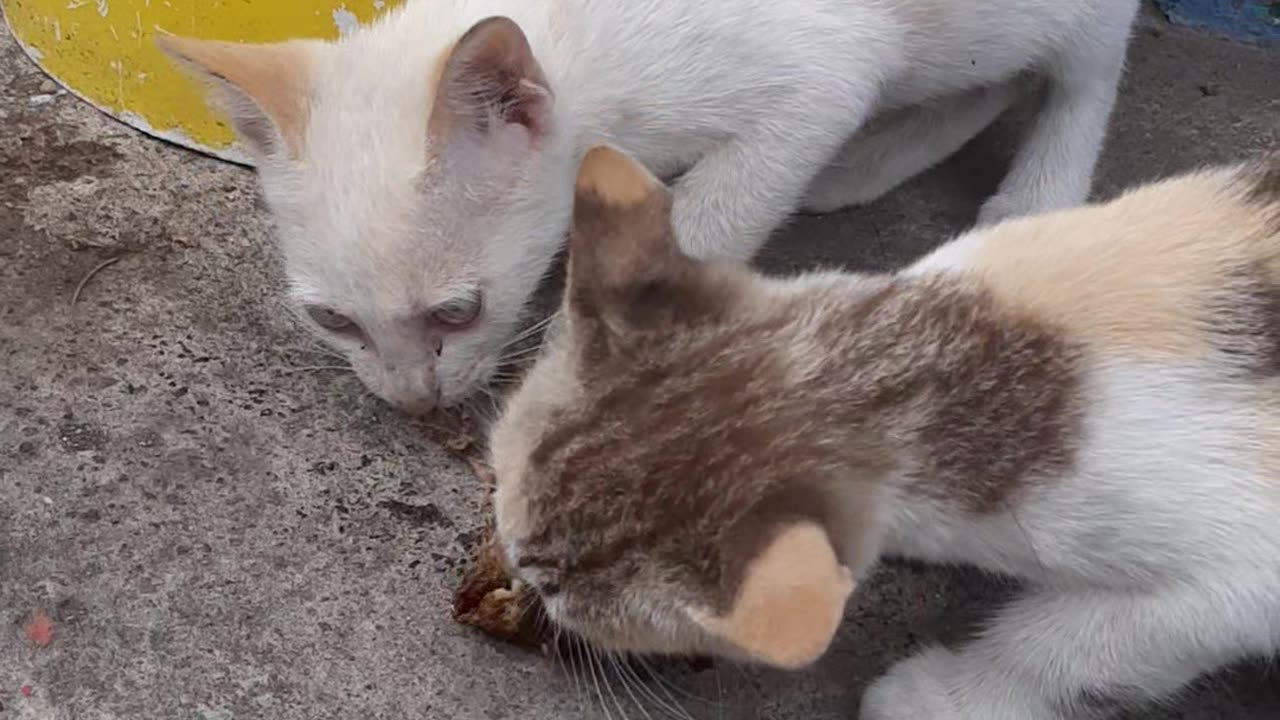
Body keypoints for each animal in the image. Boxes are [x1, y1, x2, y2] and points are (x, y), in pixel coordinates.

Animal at [162, 0, 1141, 412]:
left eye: (457, 311)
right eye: (333, 320)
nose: (412, 404)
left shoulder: (817, 78)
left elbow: (710, 218)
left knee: (1087, 63)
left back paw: (1038, 194)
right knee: (990, 79)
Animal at [488, 147, 1280, 717]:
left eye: (557, 590)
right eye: (495, 480)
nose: (514, 568)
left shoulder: (1236, 580)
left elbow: (1076, 647)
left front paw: (948, 698)